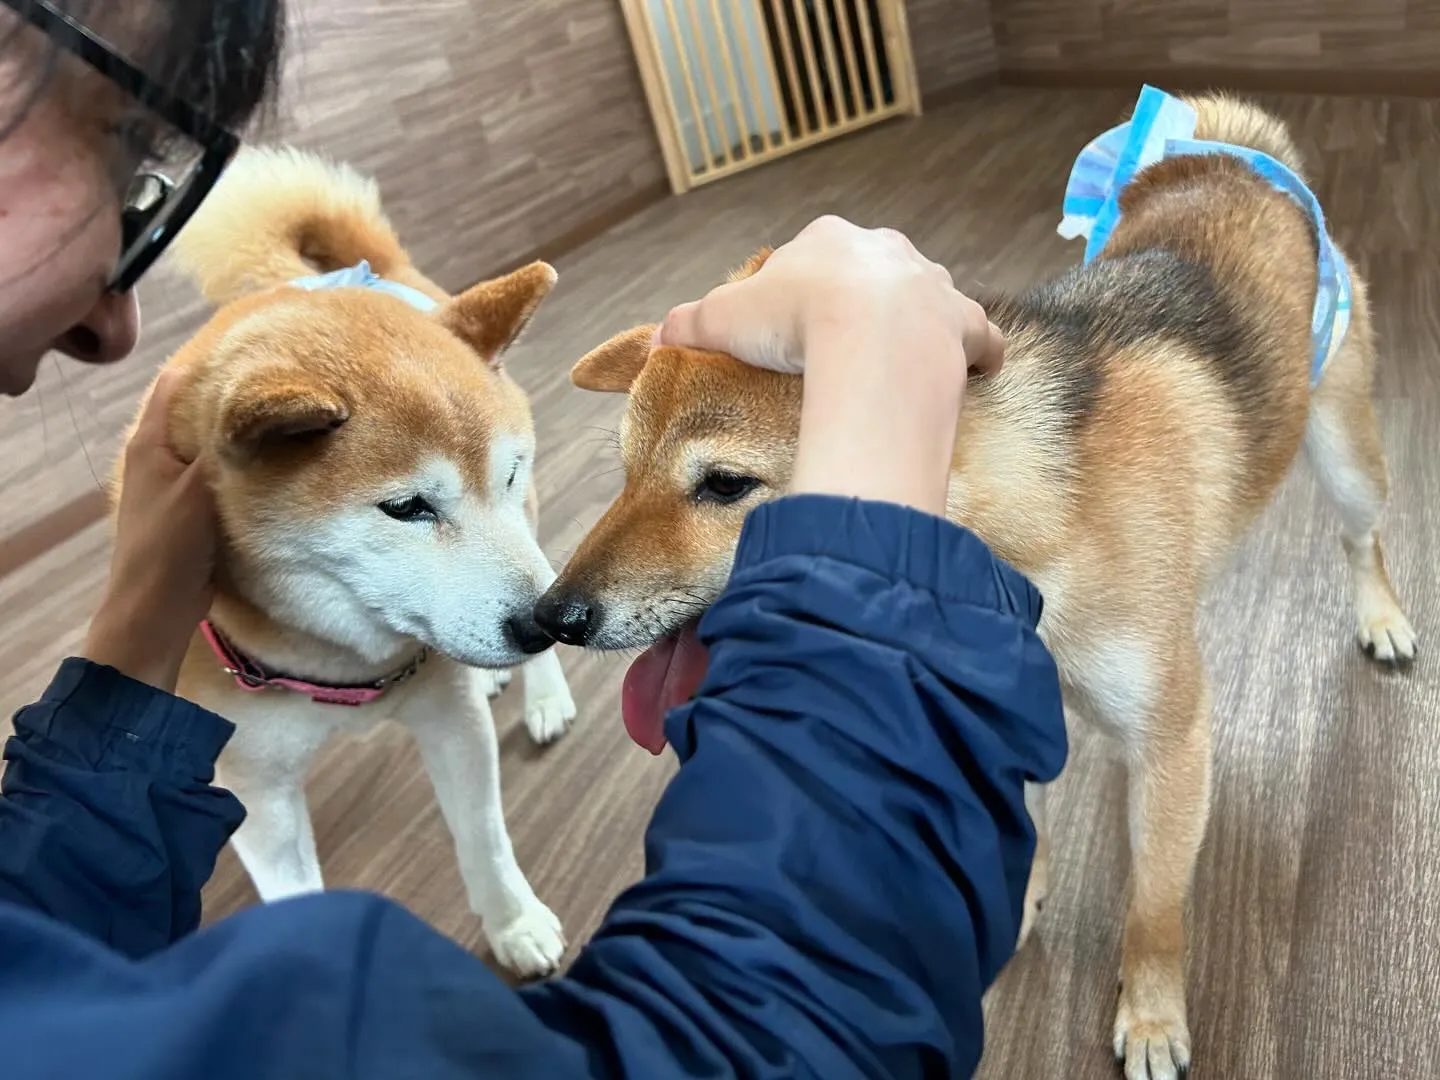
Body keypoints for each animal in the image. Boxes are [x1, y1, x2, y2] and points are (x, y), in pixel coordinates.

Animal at [115, 146, 573, 979]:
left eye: (505, 472)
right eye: (407, 508)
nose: (543, 625)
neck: (340, 666)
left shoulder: (450, 722)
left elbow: (485, 842)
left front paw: (515, 924)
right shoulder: (258, 799)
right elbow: (293, 896)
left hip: (530, 534)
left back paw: (543, 694)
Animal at [529, 95, 1416, 1077]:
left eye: (724, 486)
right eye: (623, 474)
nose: (552, 616)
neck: (1013, 542)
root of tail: (1229, 157)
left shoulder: (1174, 742)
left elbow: (1153, 908)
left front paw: (1150, 1015)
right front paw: (1018, 899)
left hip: (1345, 458)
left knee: (1363, 540)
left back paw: (1383, 618)